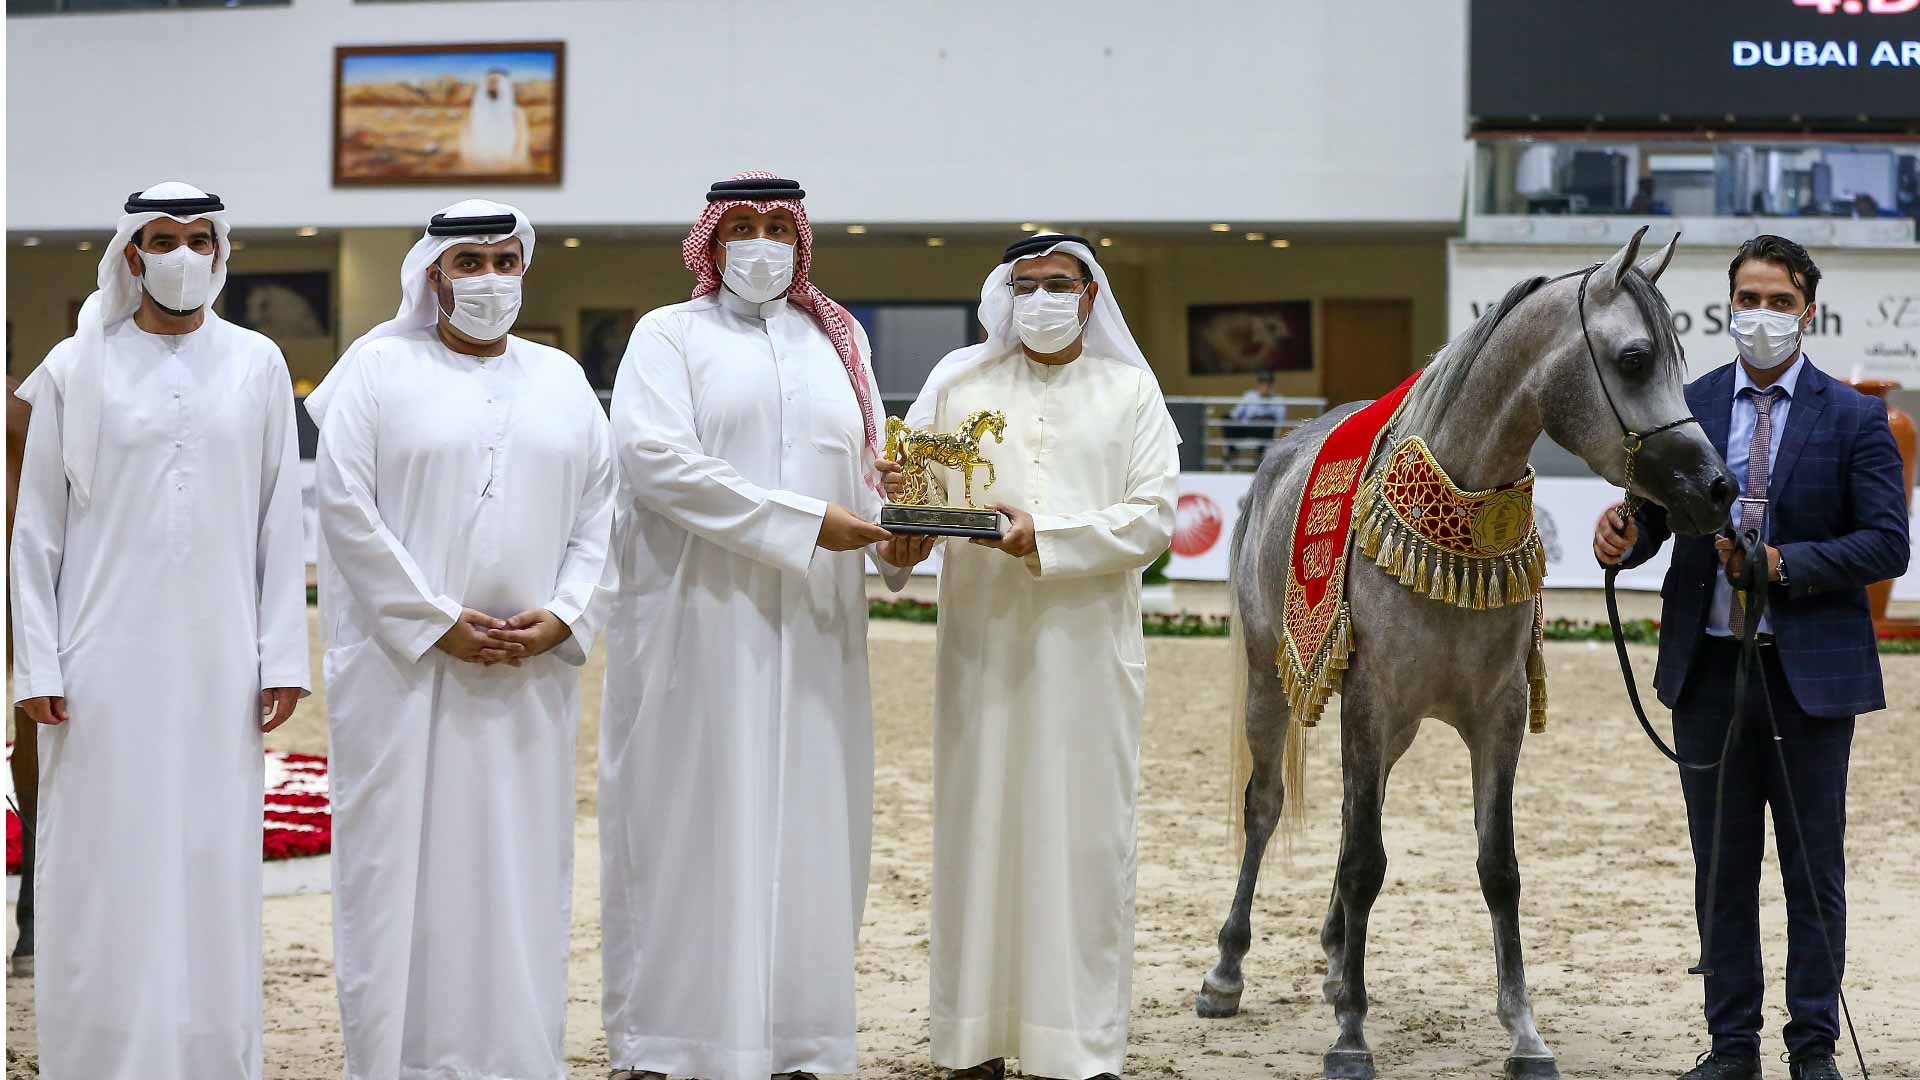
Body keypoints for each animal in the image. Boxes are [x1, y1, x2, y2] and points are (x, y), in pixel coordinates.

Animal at [1194, 228, 1737, 1080]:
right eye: (1636, 358)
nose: (1716, 488)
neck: (1458, 514)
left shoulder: (1497, 715)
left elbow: (1496, 868)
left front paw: (1524, 1032)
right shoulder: (1372, 700)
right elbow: (1364, 862)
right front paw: (1351, 1035)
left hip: (1395, 727)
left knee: (1351, 812)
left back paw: (1335, 957)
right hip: (1269, 680)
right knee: (1266, 806)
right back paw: (1227, 971)